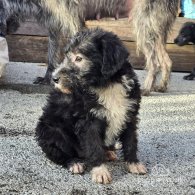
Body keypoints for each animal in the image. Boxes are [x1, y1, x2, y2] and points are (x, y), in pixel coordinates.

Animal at [0, 0, 179, 95]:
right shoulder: (54, 23)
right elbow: (52, 54)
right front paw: (47, 78)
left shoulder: (72, 21)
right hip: (155, 27)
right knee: (166, 60)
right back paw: (161, 86)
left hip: (145, 23)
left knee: (154, 61)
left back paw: (147, 87)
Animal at [35, 28, 147, 184]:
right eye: (67, 57)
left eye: (79, 58)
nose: (54, 78)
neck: (106, 85)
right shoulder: (88, 122)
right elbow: (94, 147)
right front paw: (100, 170)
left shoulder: (130, 114)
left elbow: (131, 141)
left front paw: (133, 163)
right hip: (51, 131)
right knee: (58, 153)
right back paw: (74, 162)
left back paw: (108, 152)